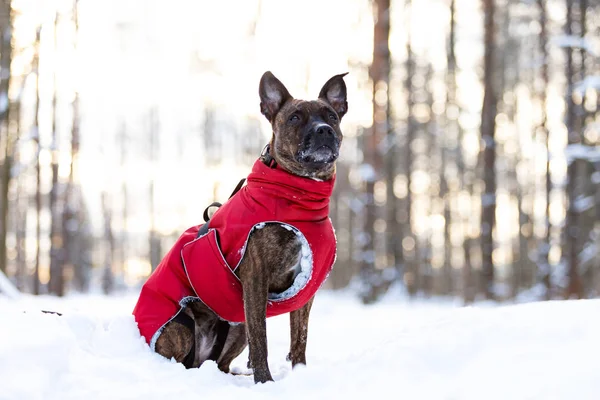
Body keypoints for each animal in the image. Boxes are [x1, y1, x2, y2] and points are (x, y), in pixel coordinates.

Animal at [131, 70, 346, 382]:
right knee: (179, 357)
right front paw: (265, 382)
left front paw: (299, 376)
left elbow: (299, 338)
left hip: (236, 326)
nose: (324, 131)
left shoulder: (305, 288)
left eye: (331, 115)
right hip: (180, 326)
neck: (297, 195)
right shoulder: (256, 278)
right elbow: (261, 340)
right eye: (295, 117)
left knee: (221, 363)